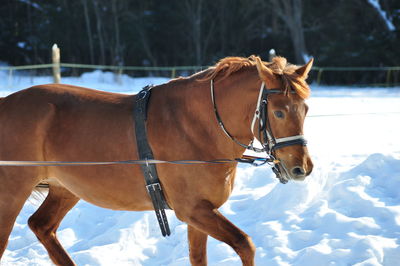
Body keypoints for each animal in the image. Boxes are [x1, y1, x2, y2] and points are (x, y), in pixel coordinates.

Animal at [0, 55, 312, 264]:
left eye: (305, 109)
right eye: (279, 111)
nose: (302, 168)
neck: (197, 126)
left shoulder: (201, 213)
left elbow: (200, 257)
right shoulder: (193, 210)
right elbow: (245, 244)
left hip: (64, 189)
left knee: (41, 226)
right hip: (12, 194)